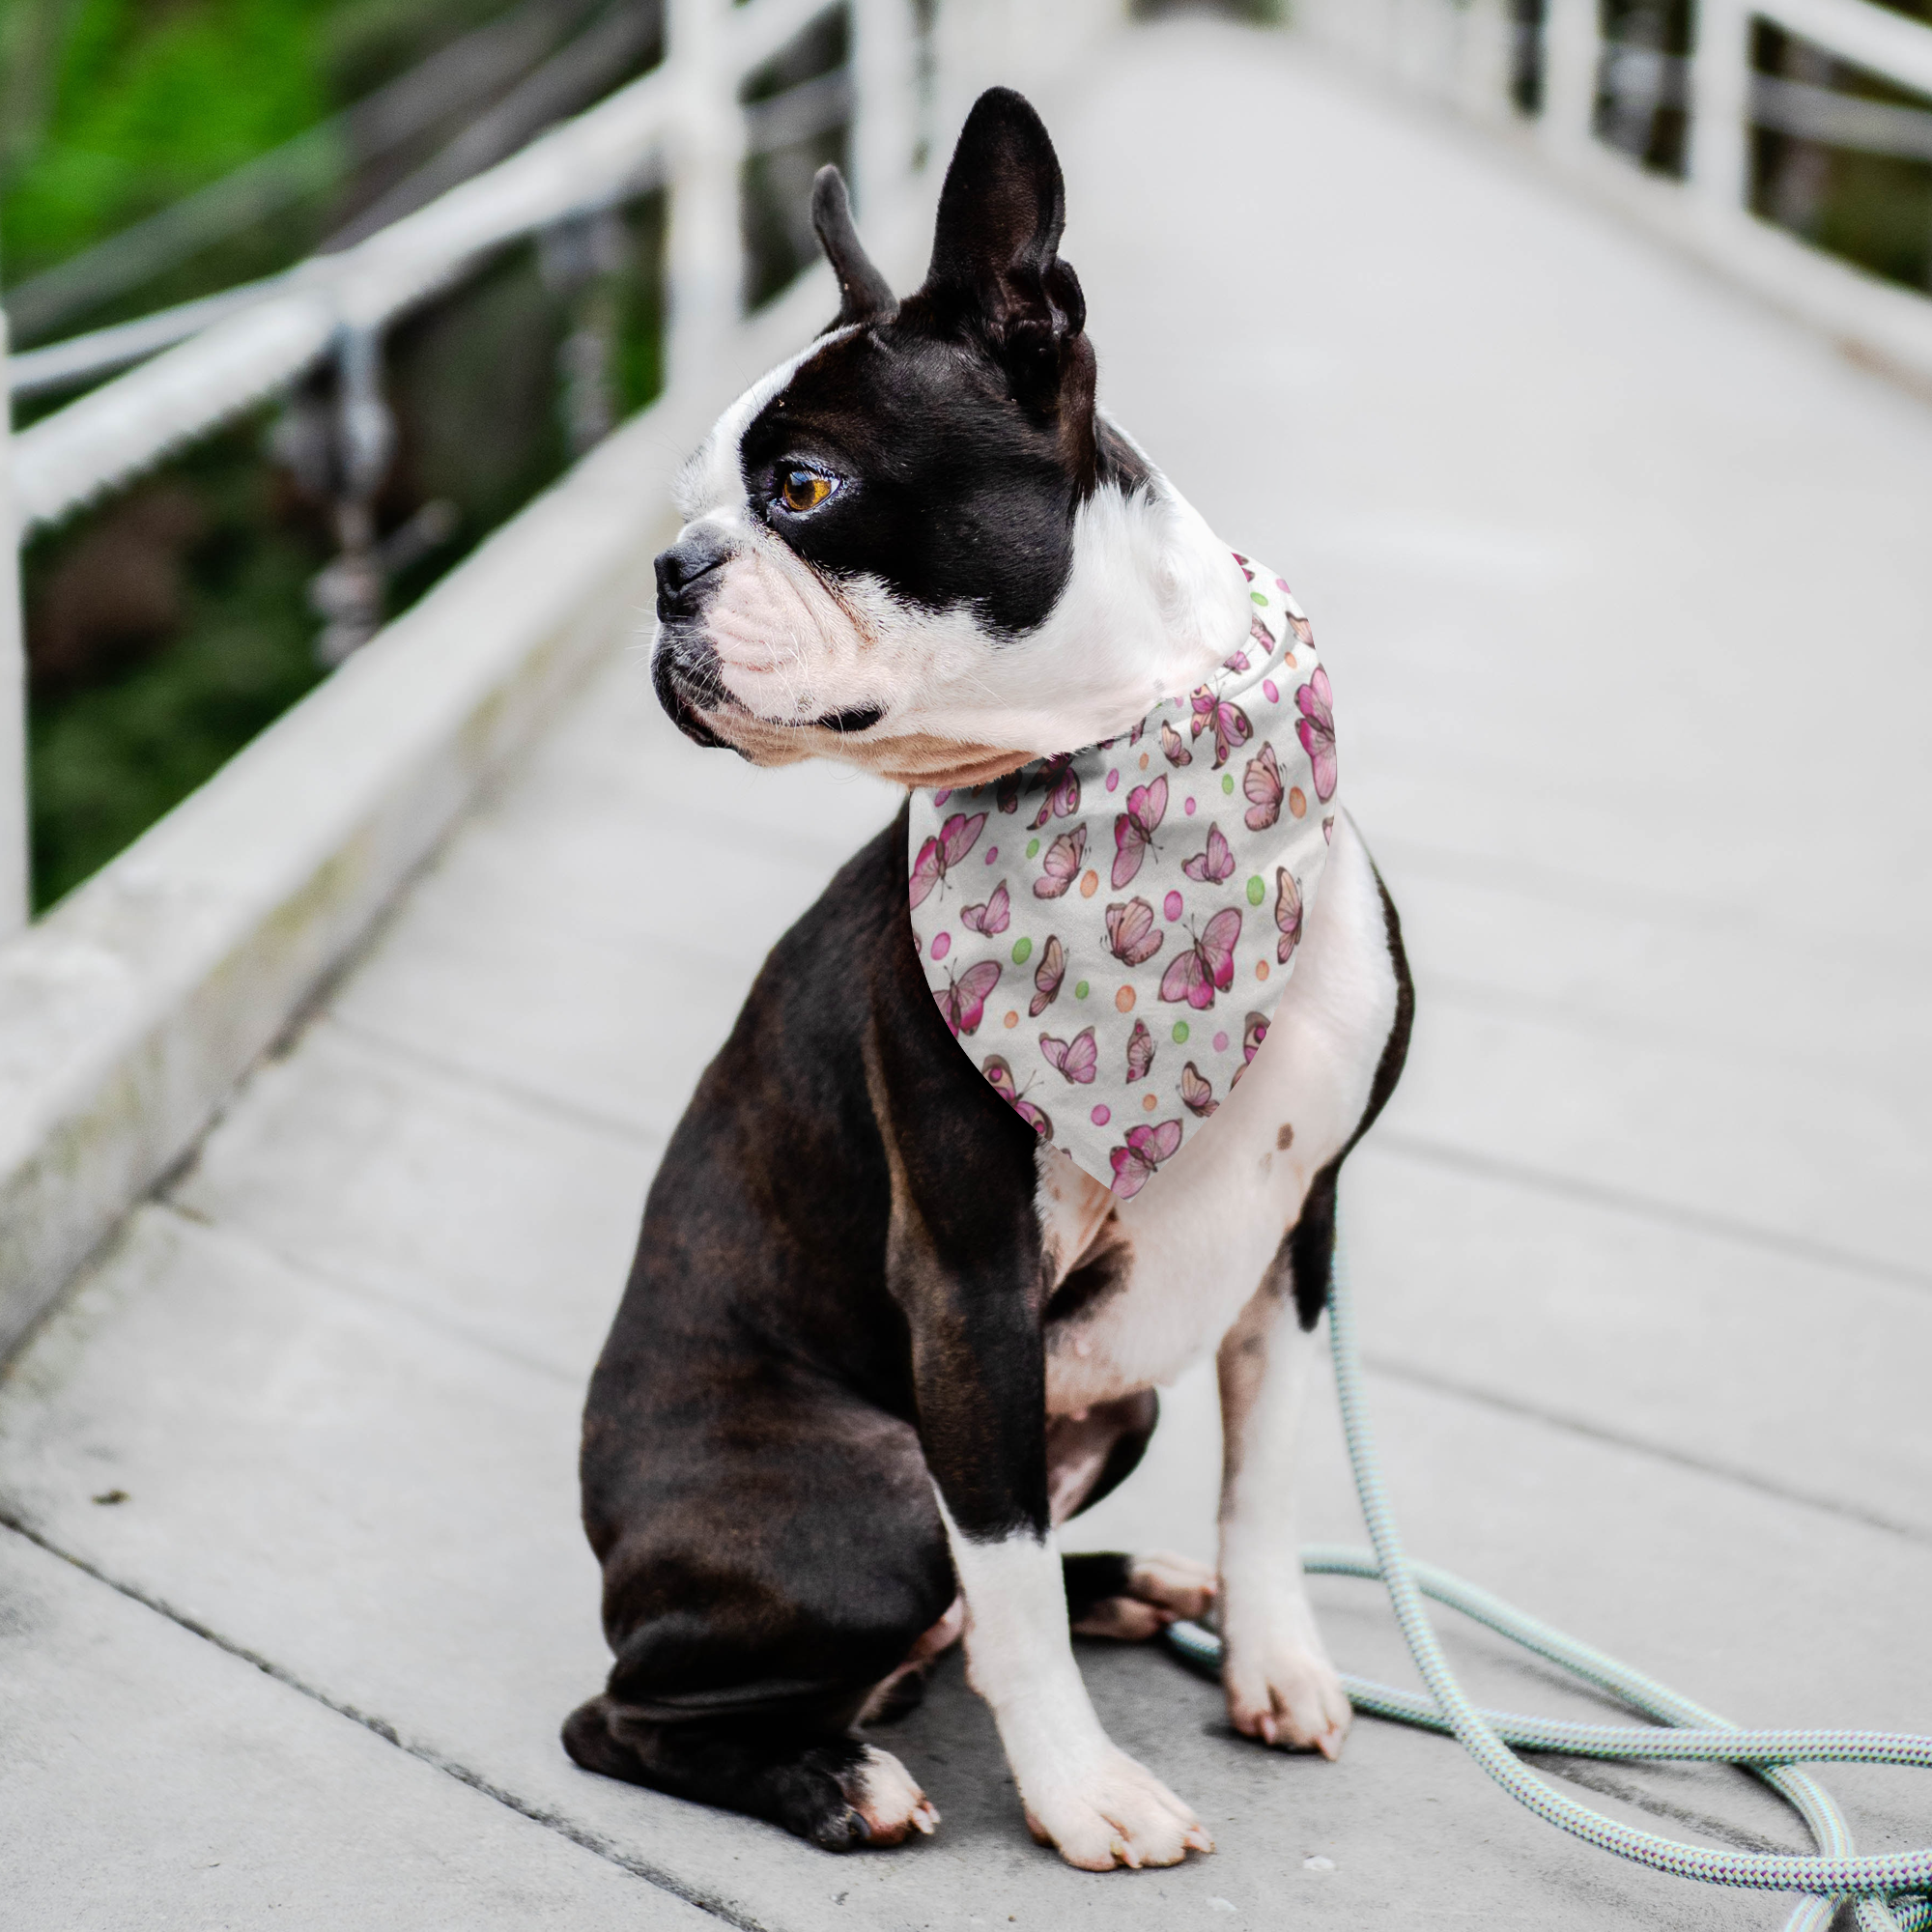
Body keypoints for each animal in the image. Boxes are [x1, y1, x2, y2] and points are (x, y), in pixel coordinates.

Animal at [564, 87, 1414, 1870]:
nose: (670, 570)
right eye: (698, 499)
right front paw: (1083, 1792)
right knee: (641, 1710)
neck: (1125, 769)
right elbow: (1005, 1573)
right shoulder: (968, 1283)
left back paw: (1136, 1587)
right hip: (876, 1495)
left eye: (802, 487)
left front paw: (1275, 1658)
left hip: (1113, 1408)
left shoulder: (1297, 1241)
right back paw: (838, 1777)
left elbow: (1268, 1478)